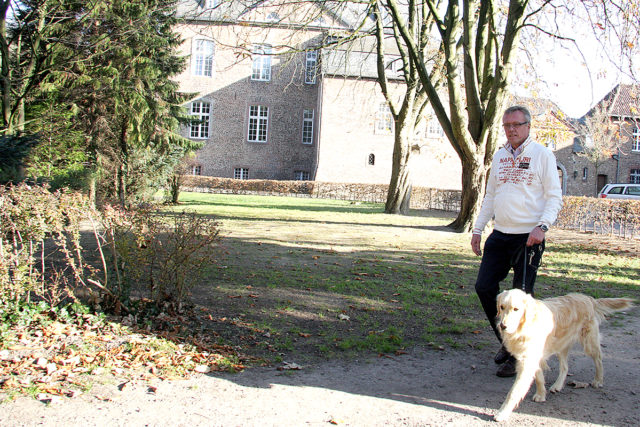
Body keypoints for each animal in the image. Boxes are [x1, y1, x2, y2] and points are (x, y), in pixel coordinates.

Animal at [492, 290, 632, 422]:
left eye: (516, 309)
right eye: (502, 307)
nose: (503, 326)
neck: (525, 326)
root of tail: (588, 298)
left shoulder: (527, 362)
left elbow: (513, 392)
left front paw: (502, 413)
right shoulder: (533, 357)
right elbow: (539, 377)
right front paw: (541, 394)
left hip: (589, 343)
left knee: (598, 360)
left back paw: (598, 380)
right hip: (561, 346)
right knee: (565, 367)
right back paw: (557, 386)